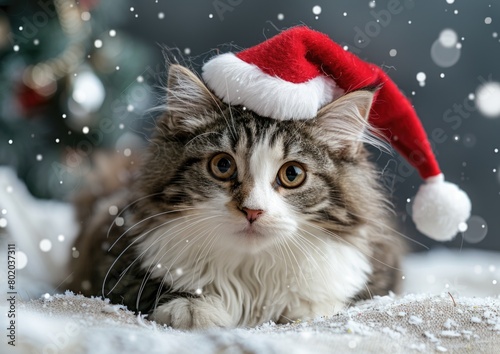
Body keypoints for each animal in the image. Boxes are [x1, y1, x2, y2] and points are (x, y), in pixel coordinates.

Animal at [65, 63, 402, 330]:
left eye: (292, 174)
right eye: (223, 165)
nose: (252, 211)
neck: (251, 271)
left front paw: (307, 310)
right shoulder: (109, 252)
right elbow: (146, 286)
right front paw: (193, 307)